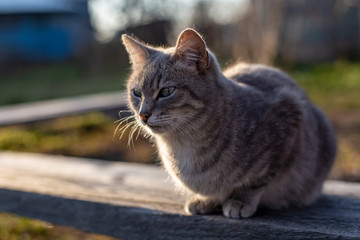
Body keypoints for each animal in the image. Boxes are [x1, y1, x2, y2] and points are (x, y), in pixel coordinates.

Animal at [121, 28, 338, 219]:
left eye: (166, 91)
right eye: (137, 93)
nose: (143, 115)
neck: (182, 145)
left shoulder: (290, 121)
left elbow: (255, 181)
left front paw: (240, 201)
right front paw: (204, 200)